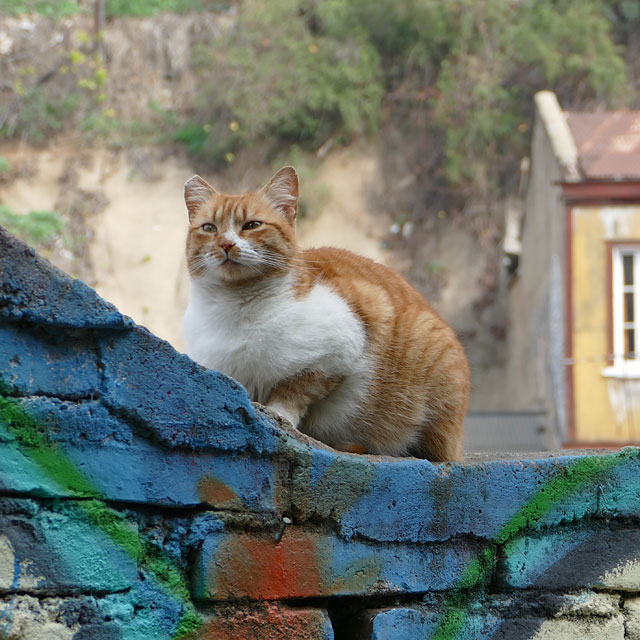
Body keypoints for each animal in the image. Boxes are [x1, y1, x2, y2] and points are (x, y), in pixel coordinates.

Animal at [182, 165, 468, 460]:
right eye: (209, 228)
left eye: (251, 225)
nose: (226, 244)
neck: (235, 308)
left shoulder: (340, 348)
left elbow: (294, 390)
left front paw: (279, 414)